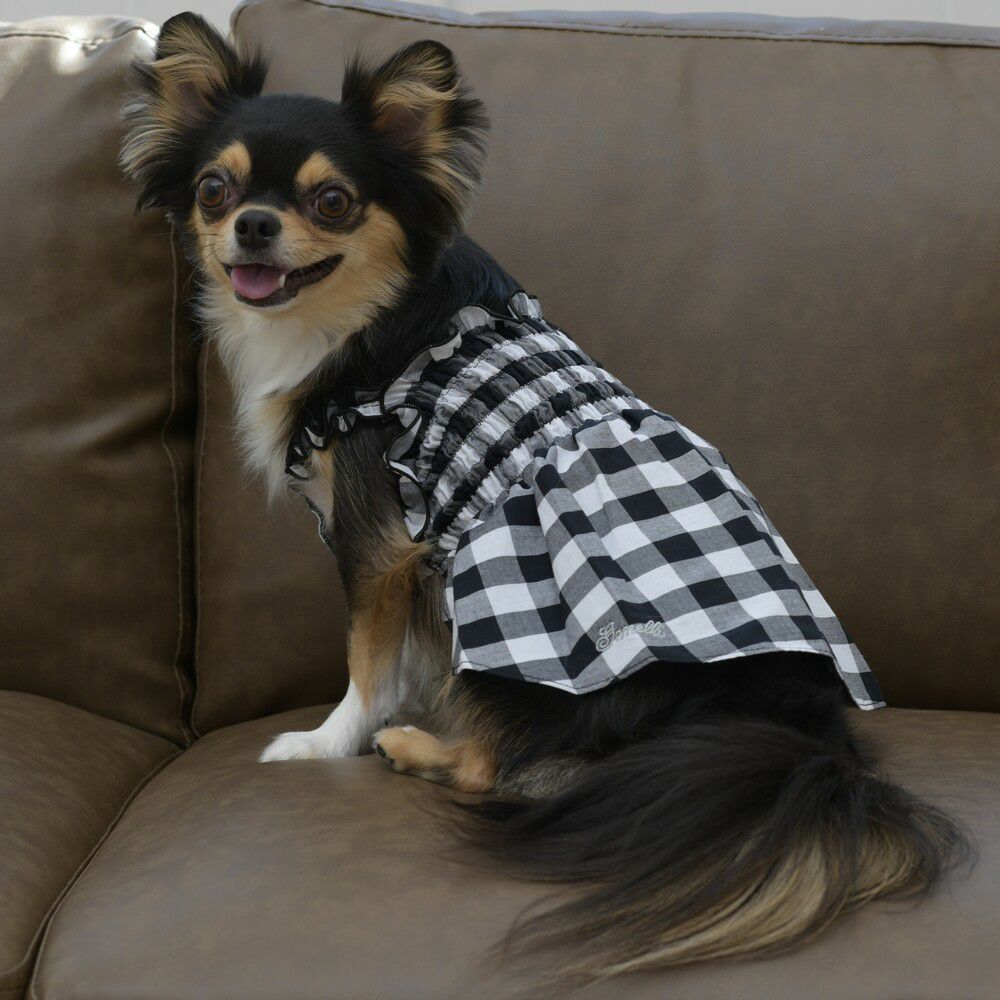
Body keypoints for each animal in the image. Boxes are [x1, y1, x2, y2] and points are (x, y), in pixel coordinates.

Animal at [122, 13, 968, 988]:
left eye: (332, 203)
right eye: (213, 191)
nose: (253, 225)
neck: (362, 324)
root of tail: (797, 727)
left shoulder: (379, 536)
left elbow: (366, 659)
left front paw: (330, 741)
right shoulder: (413, 556)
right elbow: (403, 654)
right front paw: (397, 705)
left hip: (518, 636)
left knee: (497, 769)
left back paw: (417, 749)